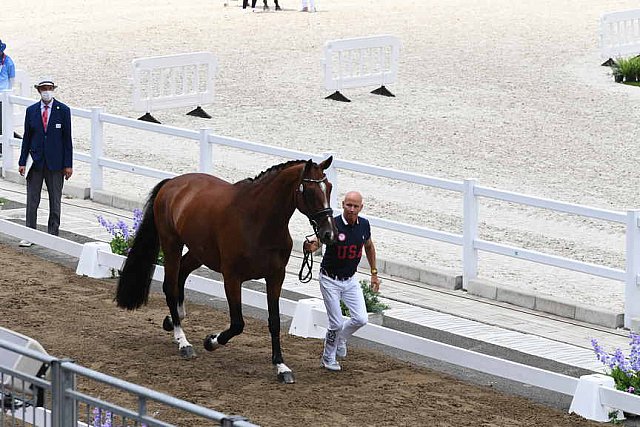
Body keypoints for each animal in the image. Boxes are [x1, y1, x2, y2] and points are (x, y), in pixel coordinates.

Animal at [115, 158, 338, 384]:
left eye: (329, 188)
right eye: (309, 191)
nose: (329, 234)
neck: (259, 221)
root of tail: (173, 183)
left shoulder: (275, 277)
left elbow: (274, 321)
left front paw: (281, 367)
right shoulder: (232, 277)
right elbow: (237, 323)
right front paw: (211, 341)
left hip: (198, 252)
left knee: (182, 275)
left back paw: (173, 318)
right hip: (172, 245)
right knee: (170, 287)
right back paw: (183, 341)